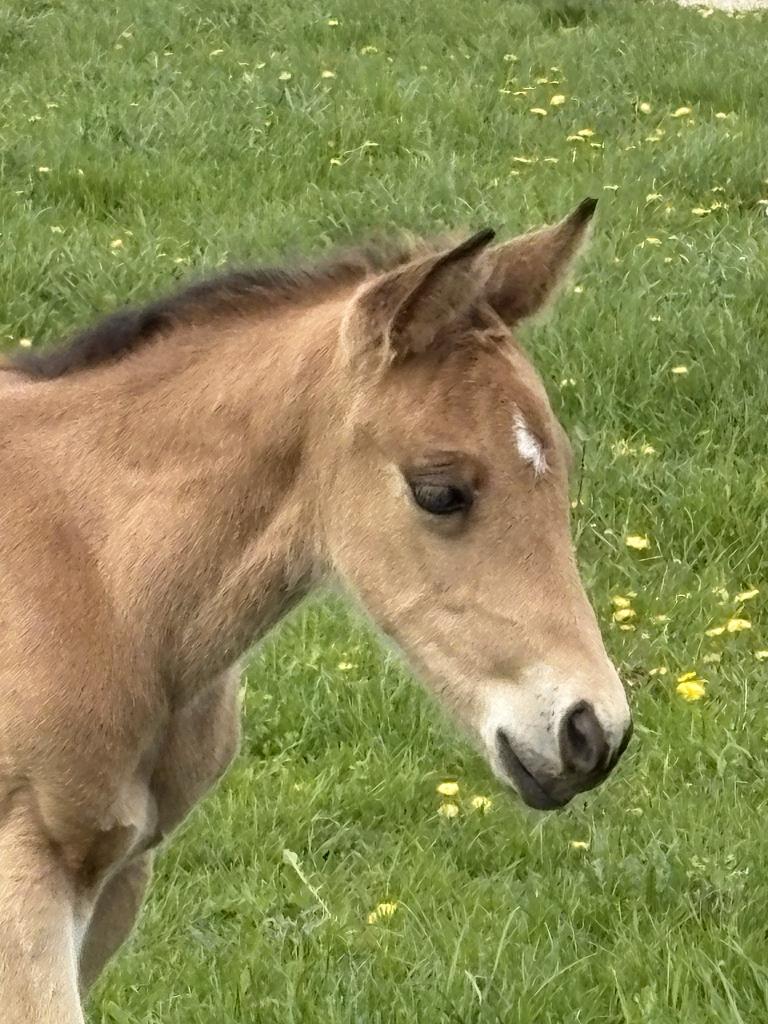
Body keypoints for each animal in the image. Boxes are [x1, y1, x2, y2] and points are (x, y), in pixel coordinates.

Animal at [0, 199, 631, 1021]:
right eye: (439, 491)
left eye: (561, 464)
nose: (593, 733)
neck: (90, 572)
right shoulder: (27, 876)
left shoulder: (118, 876)